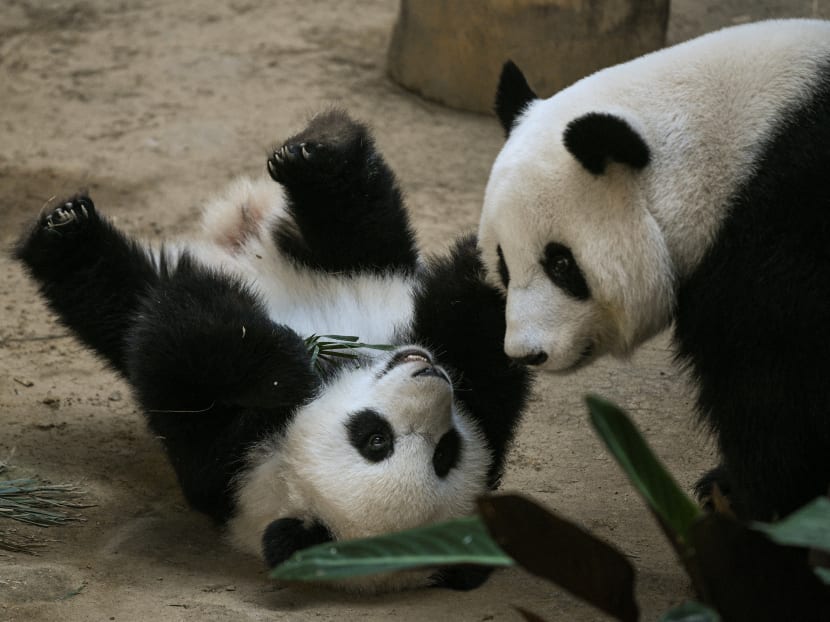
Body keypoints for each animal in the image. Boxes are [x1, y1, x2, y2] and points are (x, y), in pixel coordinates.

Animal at [15, 109, 530, 592]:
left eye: (445, 452)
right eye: (376, 439)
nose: (430, 375)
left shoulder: (223, 463)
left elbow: (173, 341)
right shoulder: (227, 457)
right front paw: (290, 365)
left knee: (116, 293)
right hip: (344, 263)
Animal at [477, 19, 830, 522]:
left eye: (561, 263)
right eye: (504, 264)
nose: (526, 353)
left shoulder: (785, 233)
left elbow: (777, 382)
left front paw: (751, 499)